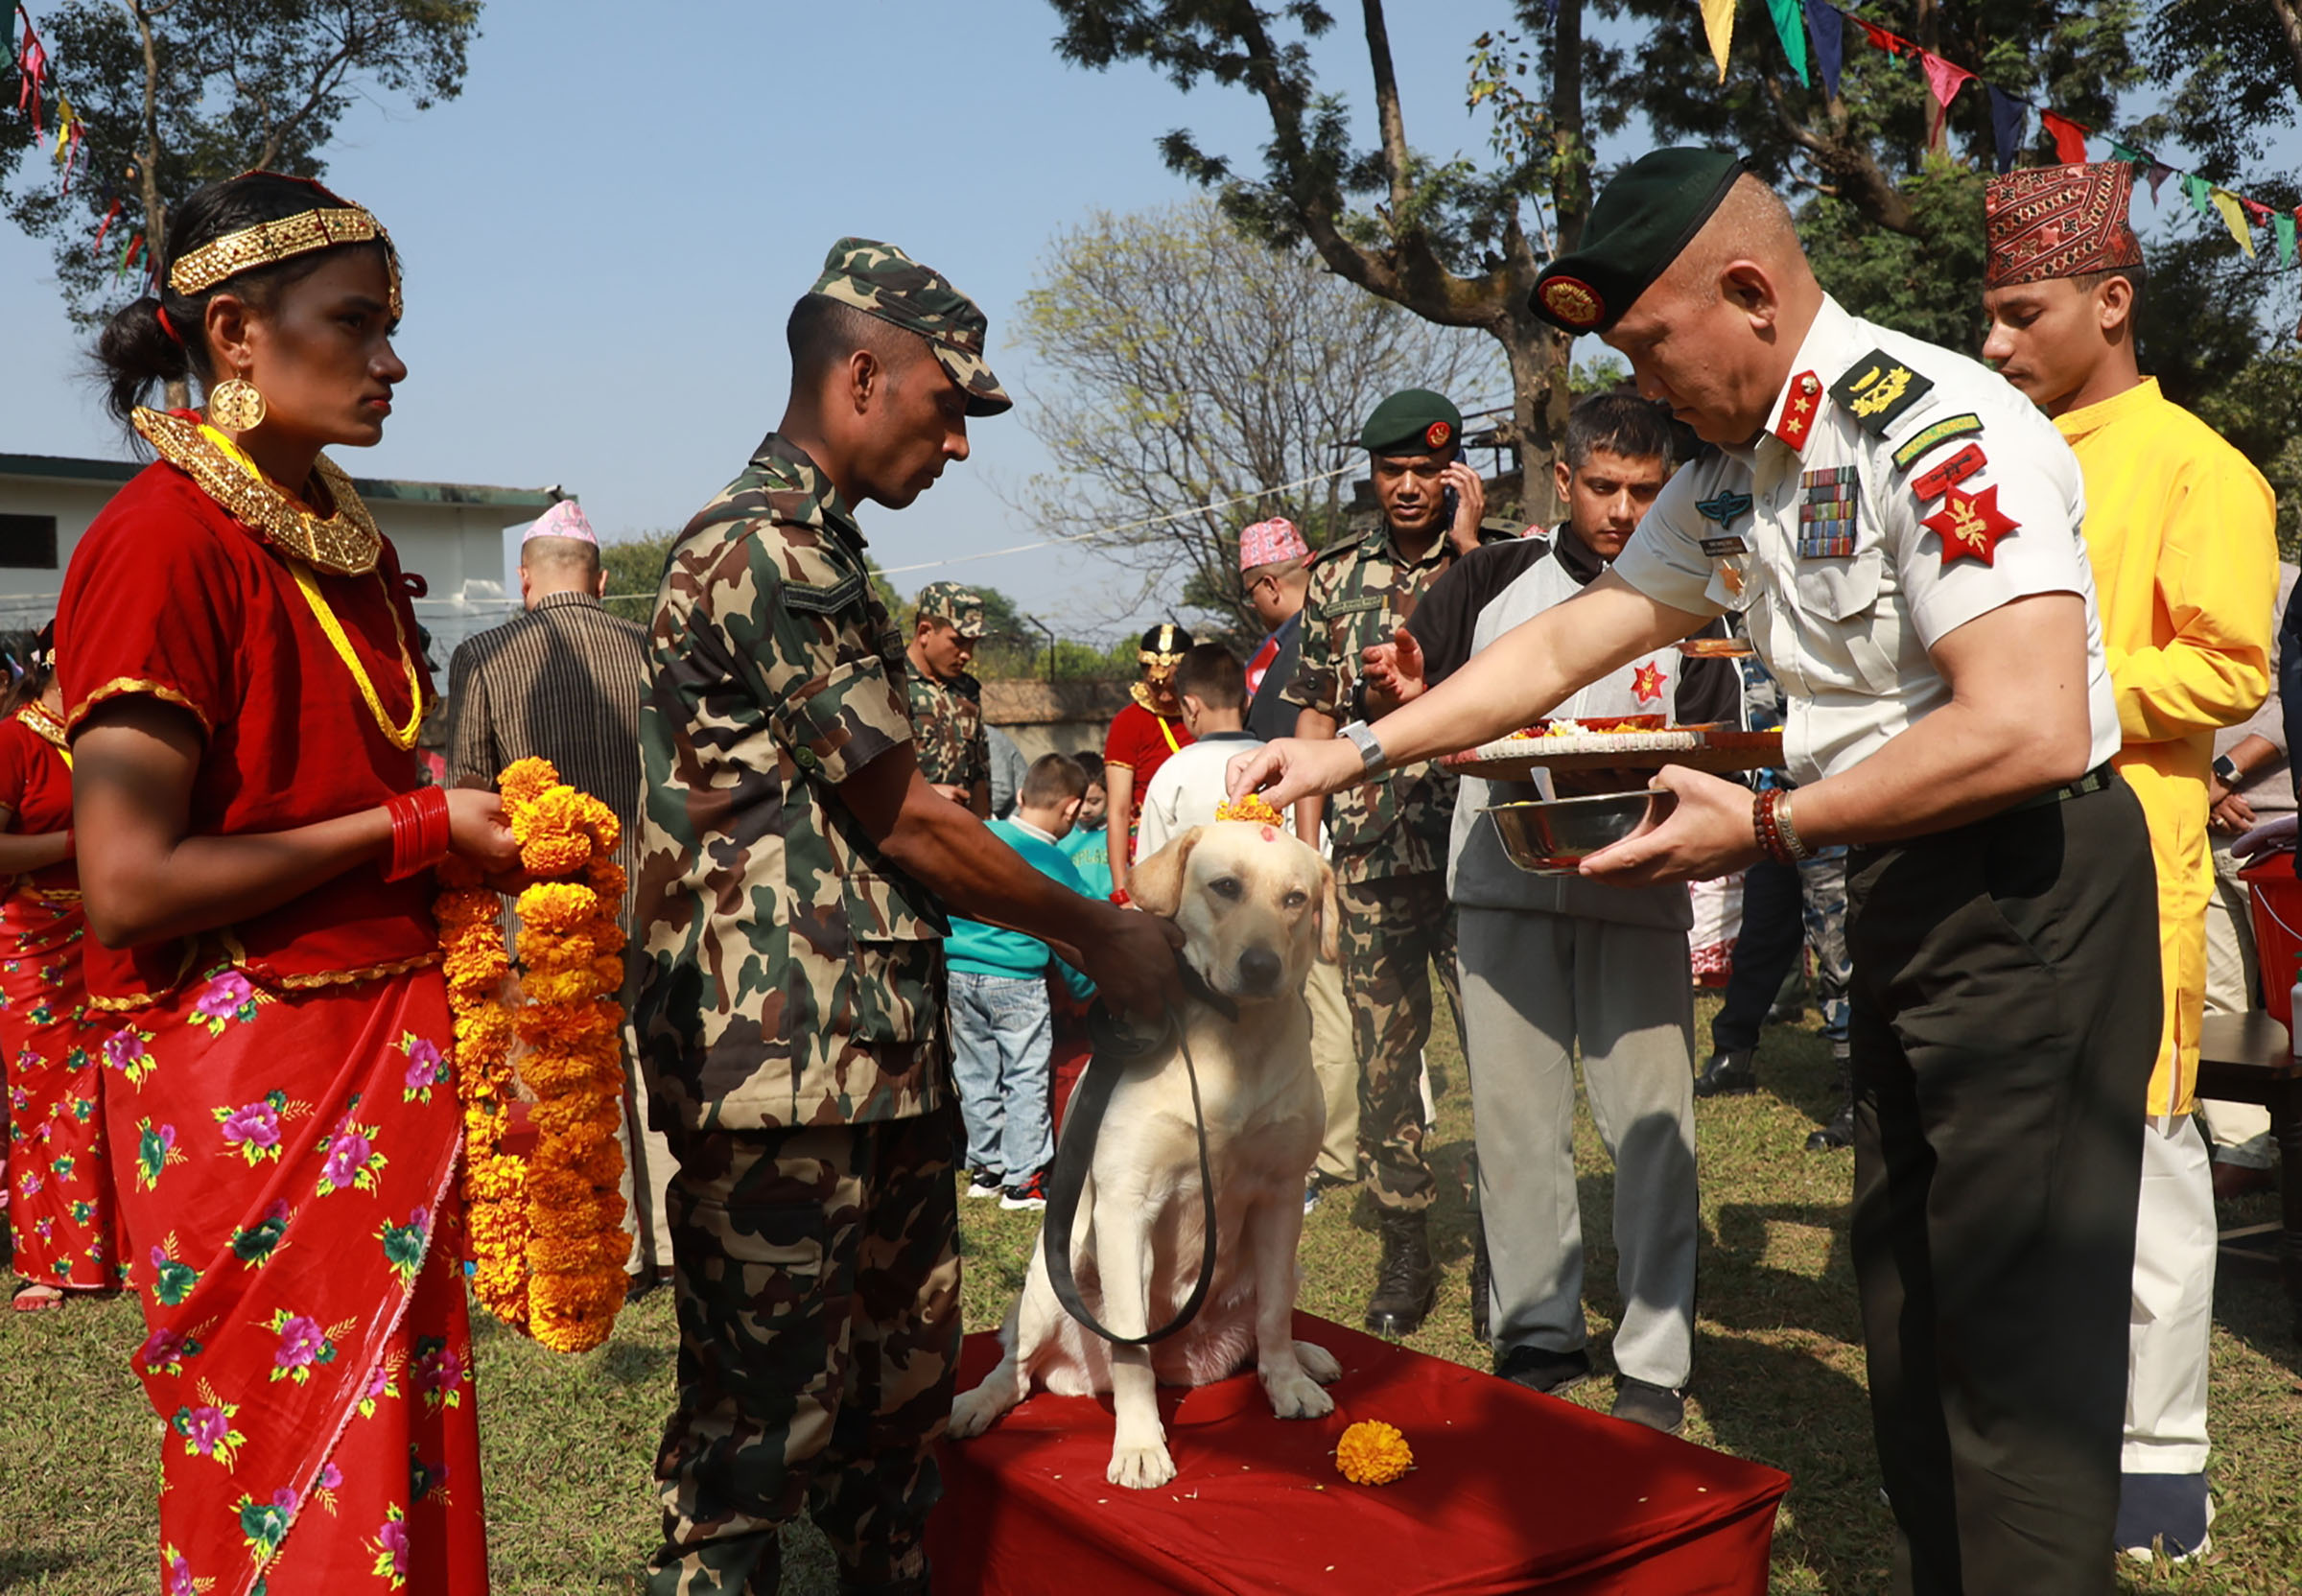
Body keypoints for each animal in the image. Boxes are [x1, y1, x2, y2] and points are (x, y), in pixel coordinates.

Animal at [952, 829, 1344, 1491]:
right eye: (1225, 886)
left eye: (1296, 899)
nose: (1262, 967)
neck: (1233, 1040)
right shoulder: (1125, 1206)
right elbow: (1130, 1348)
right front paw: (1139, 1445)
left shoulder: (1283, 1194)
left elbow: (1272, 1316)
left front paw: (1288, 1382)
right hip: (1046, 1283)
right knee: (1016, 1368)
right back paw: (975, 1403)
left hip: (1288, 1264)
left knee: (1268, 1323)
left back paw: (1305, 1358)